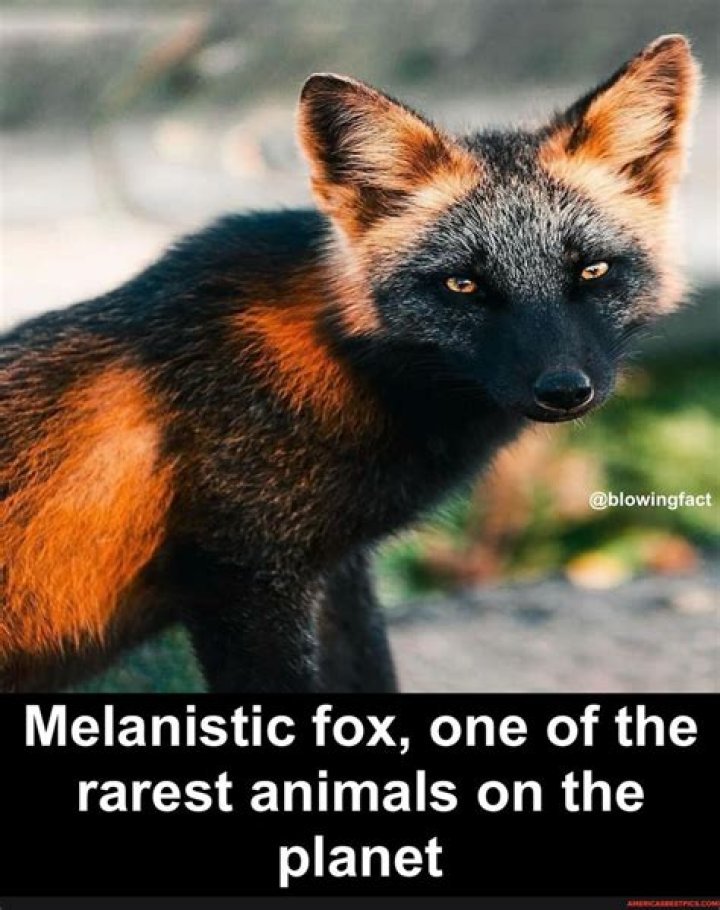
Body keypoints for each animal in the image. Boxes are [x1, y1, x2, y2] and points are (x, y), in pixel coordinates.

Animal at [0, 36, 699, 692]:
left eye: (593, 271)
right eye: (463, 285)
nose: (564, 390)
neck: (342, 364)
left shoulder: (336, 569)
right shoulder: (244, 578)